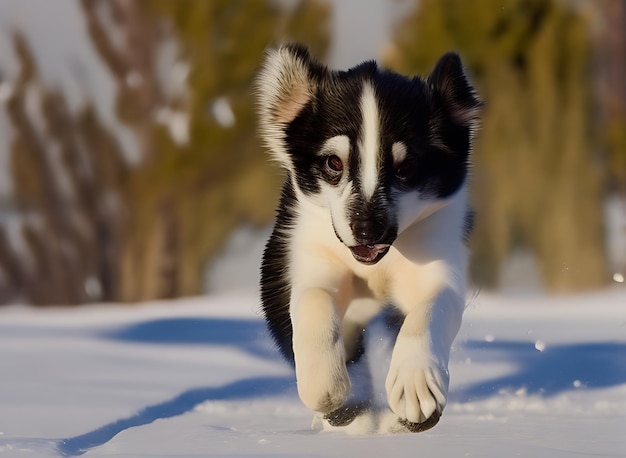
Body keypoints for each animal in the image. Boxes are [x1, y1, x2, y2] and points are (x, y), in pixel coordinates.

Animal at [256, 43, 480, 432]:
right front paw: (326, 386)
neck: (378, 261)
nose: (367, 230)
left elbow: (430, 310)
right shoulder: (306, 257)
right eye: (333, 163)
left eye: (406, 168)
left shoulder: (438, 257)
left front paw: (415, 385)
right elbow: (313, 301)